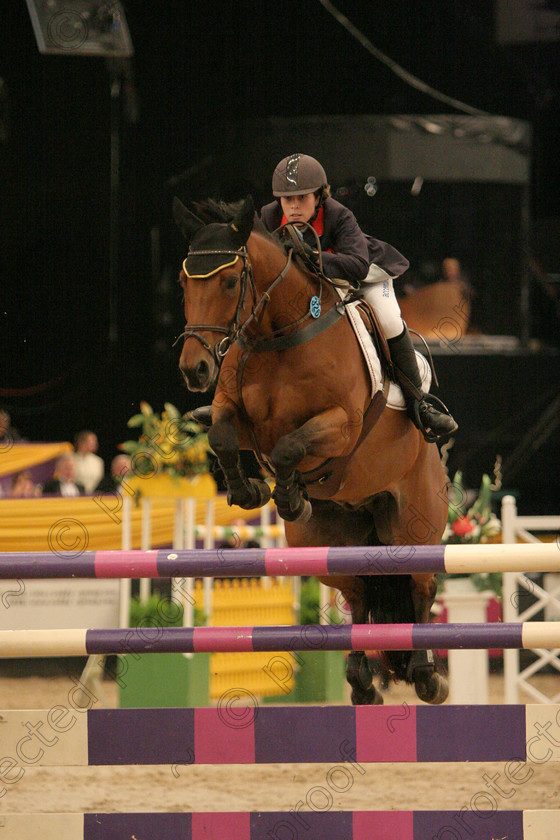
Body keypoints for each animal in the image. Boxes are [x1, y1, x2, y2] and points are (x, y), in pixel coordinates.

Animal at [175, 195, 450, 704]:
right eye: (185, 281)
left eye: (229, 281)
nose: (195, 369)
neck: (278, 335)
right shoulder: (238, 418)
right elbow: (222, 435)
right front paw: (250, 492)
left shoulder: (342, 424)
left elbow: (289, 446)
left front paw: (288, 495)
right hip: (323, 542)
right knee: (358, 592)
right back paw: (361, 681)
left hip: (415, 527)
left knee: (421, 586)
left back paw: (426, 673)